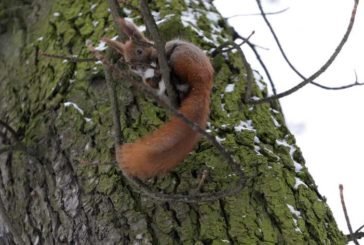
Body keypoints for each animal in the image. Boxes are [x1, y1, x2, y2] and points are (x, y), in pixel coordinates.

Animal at [102, 17, 213, 178]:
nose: (138, 68)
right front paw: (153, 79)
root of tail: (203, 83)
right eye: (129, 64)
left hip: (181, 57)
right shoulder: (148, 81)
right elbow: (151, 83)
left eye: (139, 51)